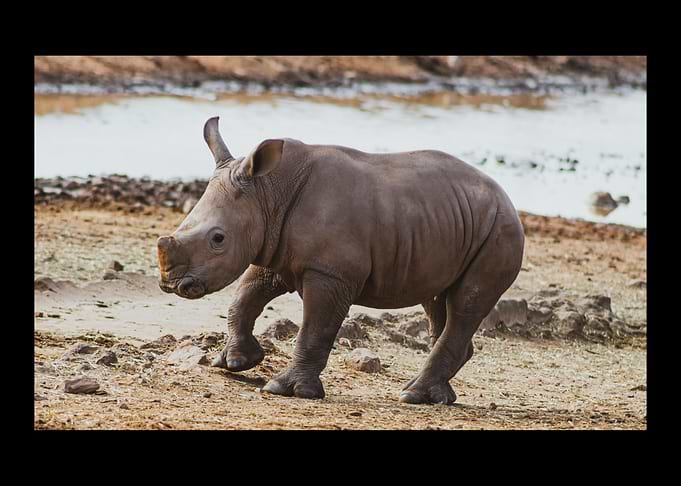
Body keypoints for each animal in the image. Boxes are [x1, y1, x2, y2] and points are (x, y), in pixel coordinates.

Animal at [157, 117, 524, 404]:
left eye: (218, 239)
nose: (171, 283)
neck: (267, 193)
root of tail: (505, 197)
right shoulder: (274, 251)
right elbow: (245, 296)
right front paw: (234, 363)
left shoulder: (330, 272)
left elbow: (314, 327)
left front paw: (286, 389)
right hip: (449, 222)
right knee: (438, 303)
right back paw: (434, 396)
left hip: (500, 230)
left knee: (465, 303)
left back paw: (412, 395)